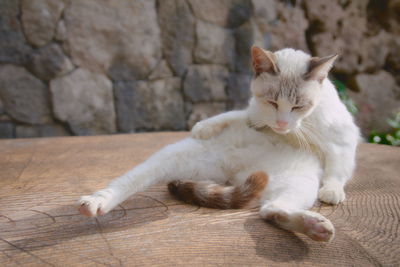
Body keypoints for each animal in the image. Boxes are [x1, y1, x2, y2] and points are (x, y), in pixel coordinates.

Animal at [78, 45, 360, 243]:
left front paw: (332, 190)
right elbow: (234, 114)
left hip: (300, 182)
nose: (281, 123)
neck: (293, 129)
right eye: (272, 102)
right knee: (126, 182)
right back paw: (95, 203)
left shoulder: (343, 138)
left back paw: (313, 227)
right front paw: (204, 126)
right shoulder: (255, 115)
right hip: (169, 159)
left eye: (298, 106)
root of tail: (234, 172)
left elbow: (338, 167)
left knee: (271, 210)